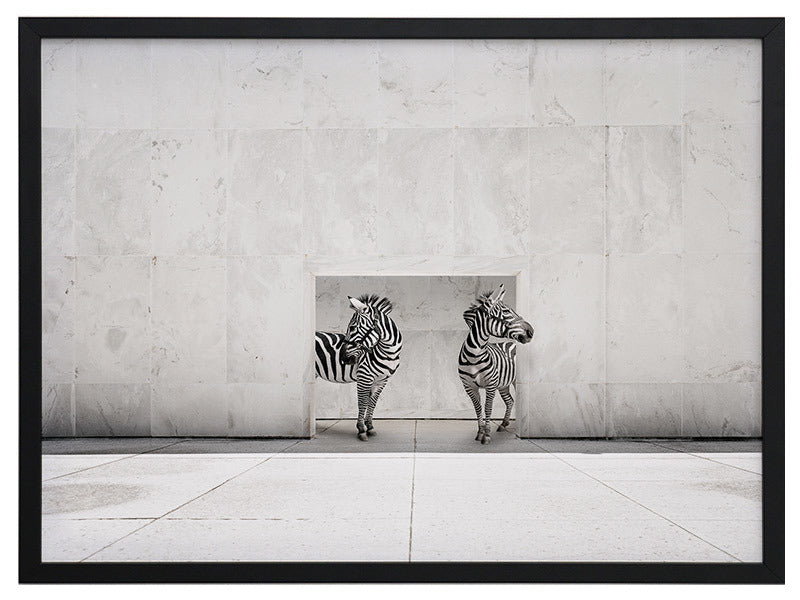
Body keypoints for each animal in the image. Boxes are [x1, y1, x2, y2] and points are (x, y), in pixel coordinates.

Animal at [315, 294, 402, 441]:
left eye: (353, 327)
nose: (343, 358)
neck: (388, 353)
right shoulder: (364, 376)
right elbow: (362, 402)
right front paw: (361, 429)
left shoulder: (381, 380)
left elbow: (372, 403)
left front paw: (370, 427)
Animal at [458, 283, 534, 444]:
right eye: (506, 311)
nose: (531, 331)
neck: (474, 355)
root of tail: (511, 343)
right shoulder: (469, 387)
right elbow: (478, 408)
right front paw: (480, 432)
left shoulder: (491, 385)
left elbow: (488, 407)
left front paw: (486, 435)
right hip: (503, 384)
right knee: (510, 401)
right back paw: (503, 424)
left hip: (513, 381)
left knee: (511, 400)